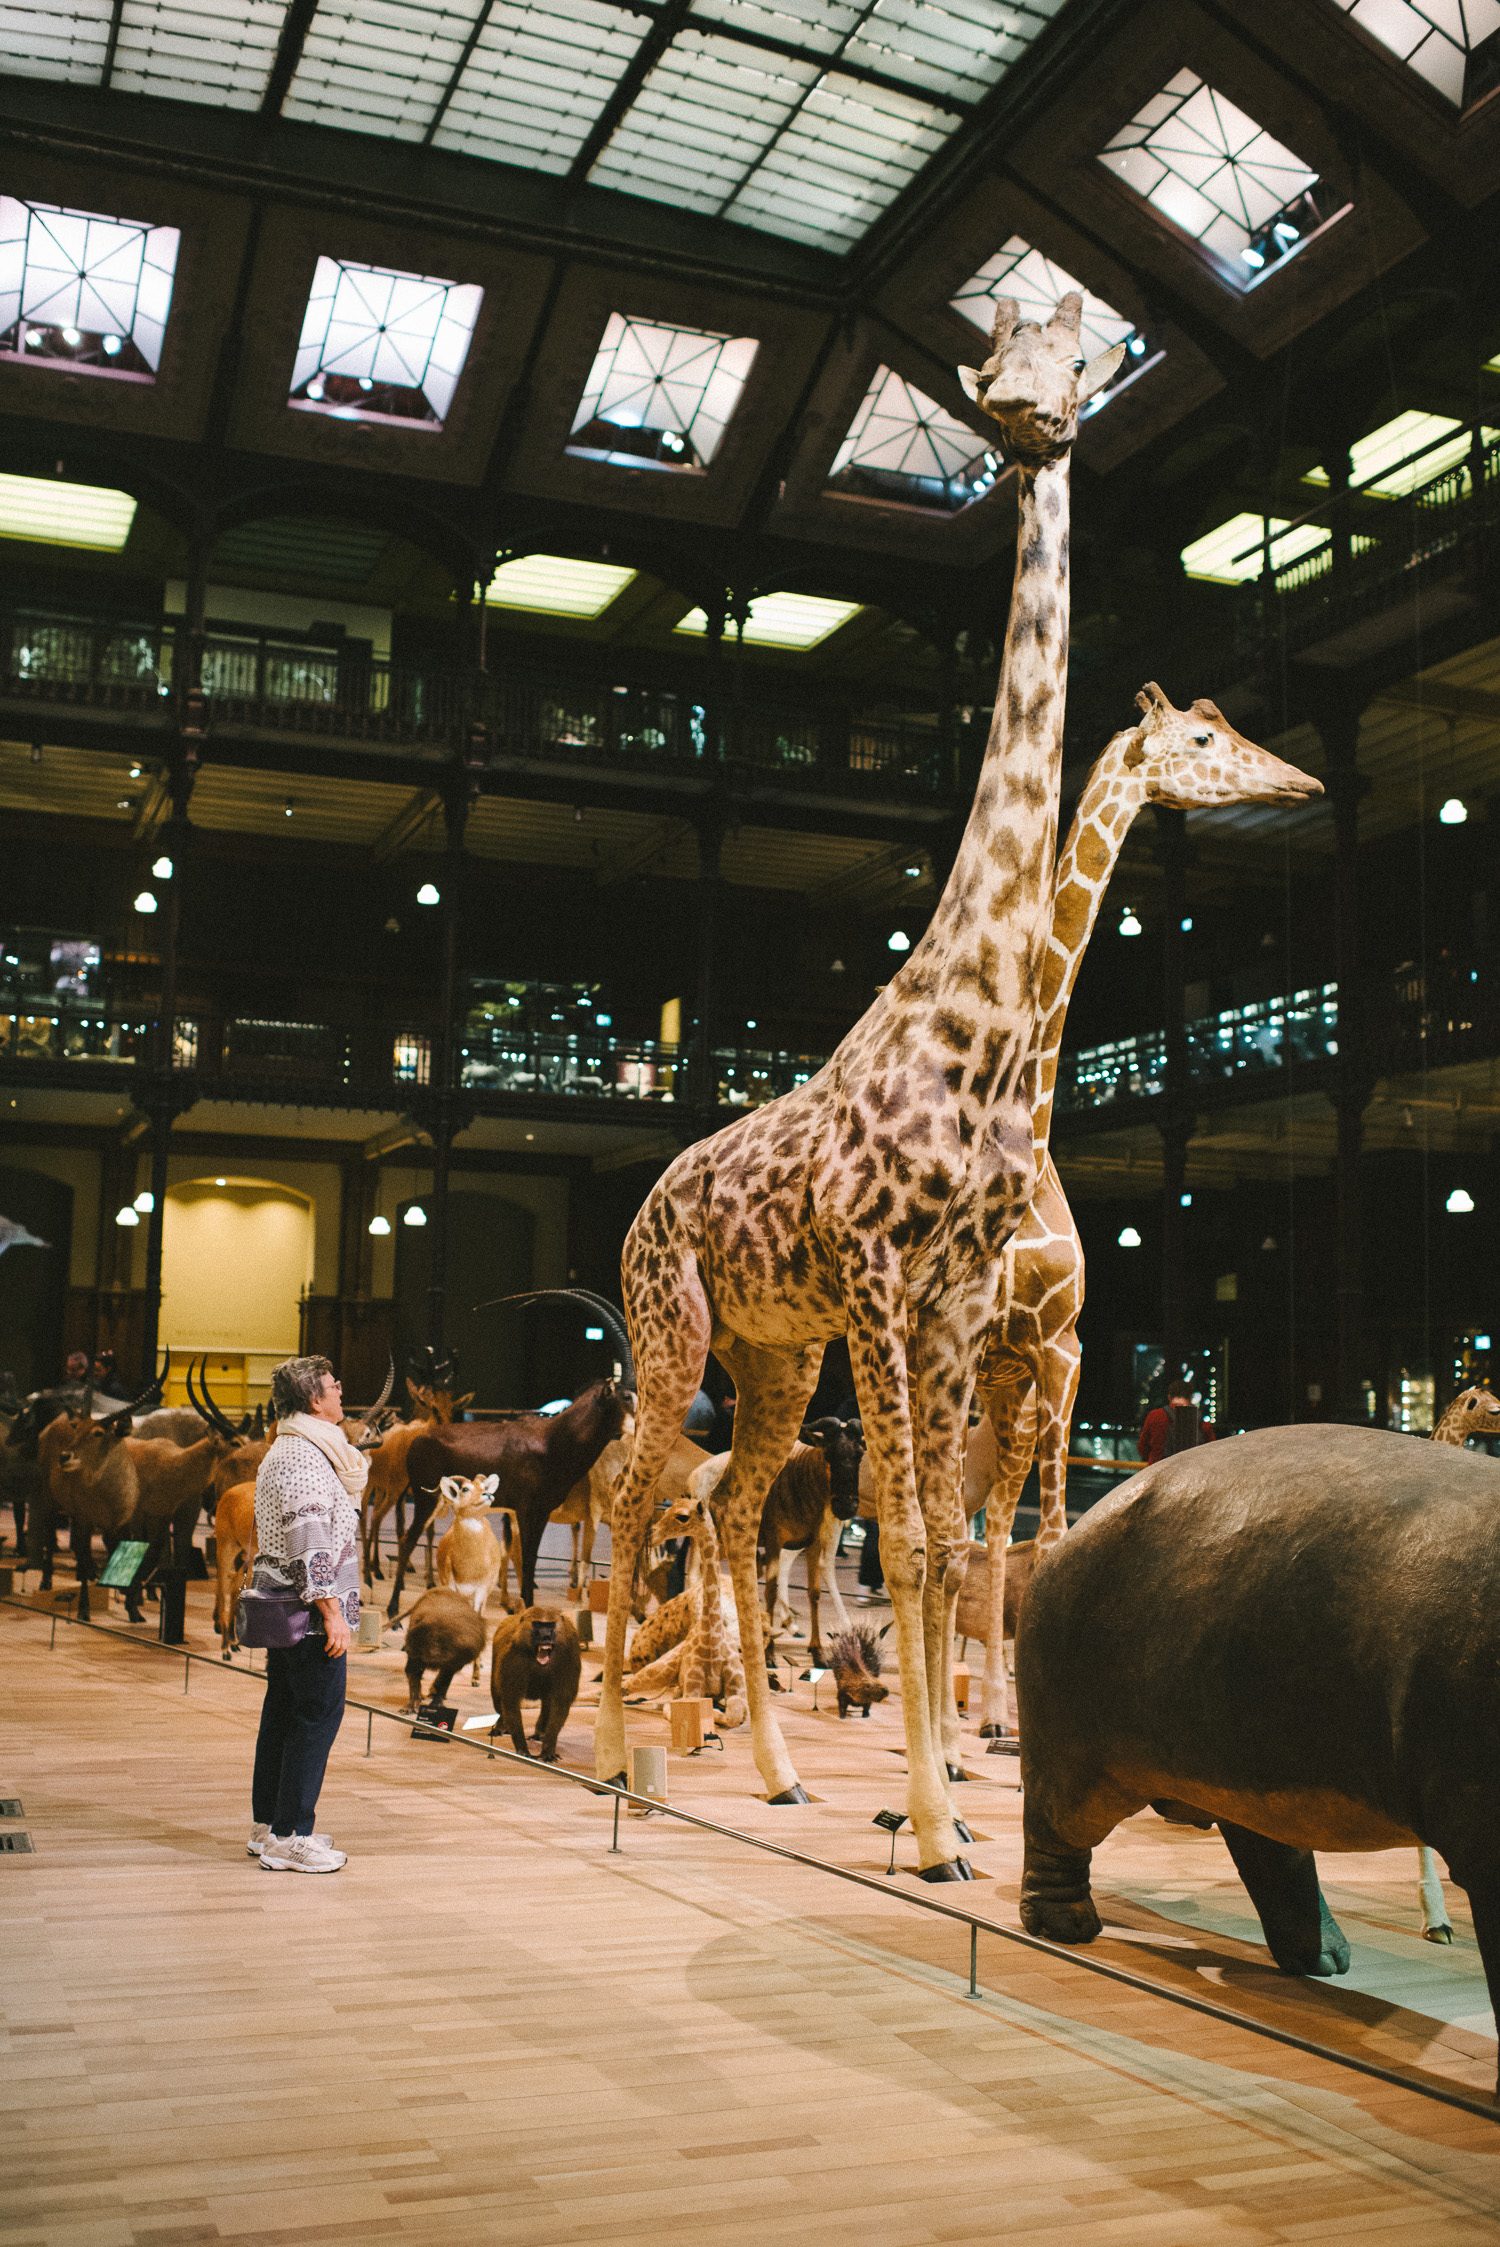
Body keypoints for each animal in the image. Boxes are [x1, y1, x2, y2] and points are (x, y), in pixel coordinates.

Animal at [592, 294, 1118, 1878]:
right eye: (995, 349)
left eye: (1083, 355)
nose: (1025, 414)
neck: (977, 1009)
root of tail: (646, 1201)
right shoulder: (885, 1277)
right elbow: (912, 1523)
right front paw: (939, 1823)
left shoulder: (948, 1304)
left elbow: (935, 1539)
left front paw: (941, 1806)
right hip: (676, 1327)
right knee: (639, 1489)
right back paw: (620, 1760)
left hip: (775, 1360)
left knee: (734, 1505)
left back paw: (767, 1772)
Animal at [965, 683, 1320, 1734]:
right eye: (1201, 737)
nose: (1302, 781)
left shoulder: (1061, 1352)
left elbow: (1045, 1534)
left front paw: (1008, 1723)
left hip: (1011, 1392)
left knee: (988, 1520)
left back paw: (979, 1713)